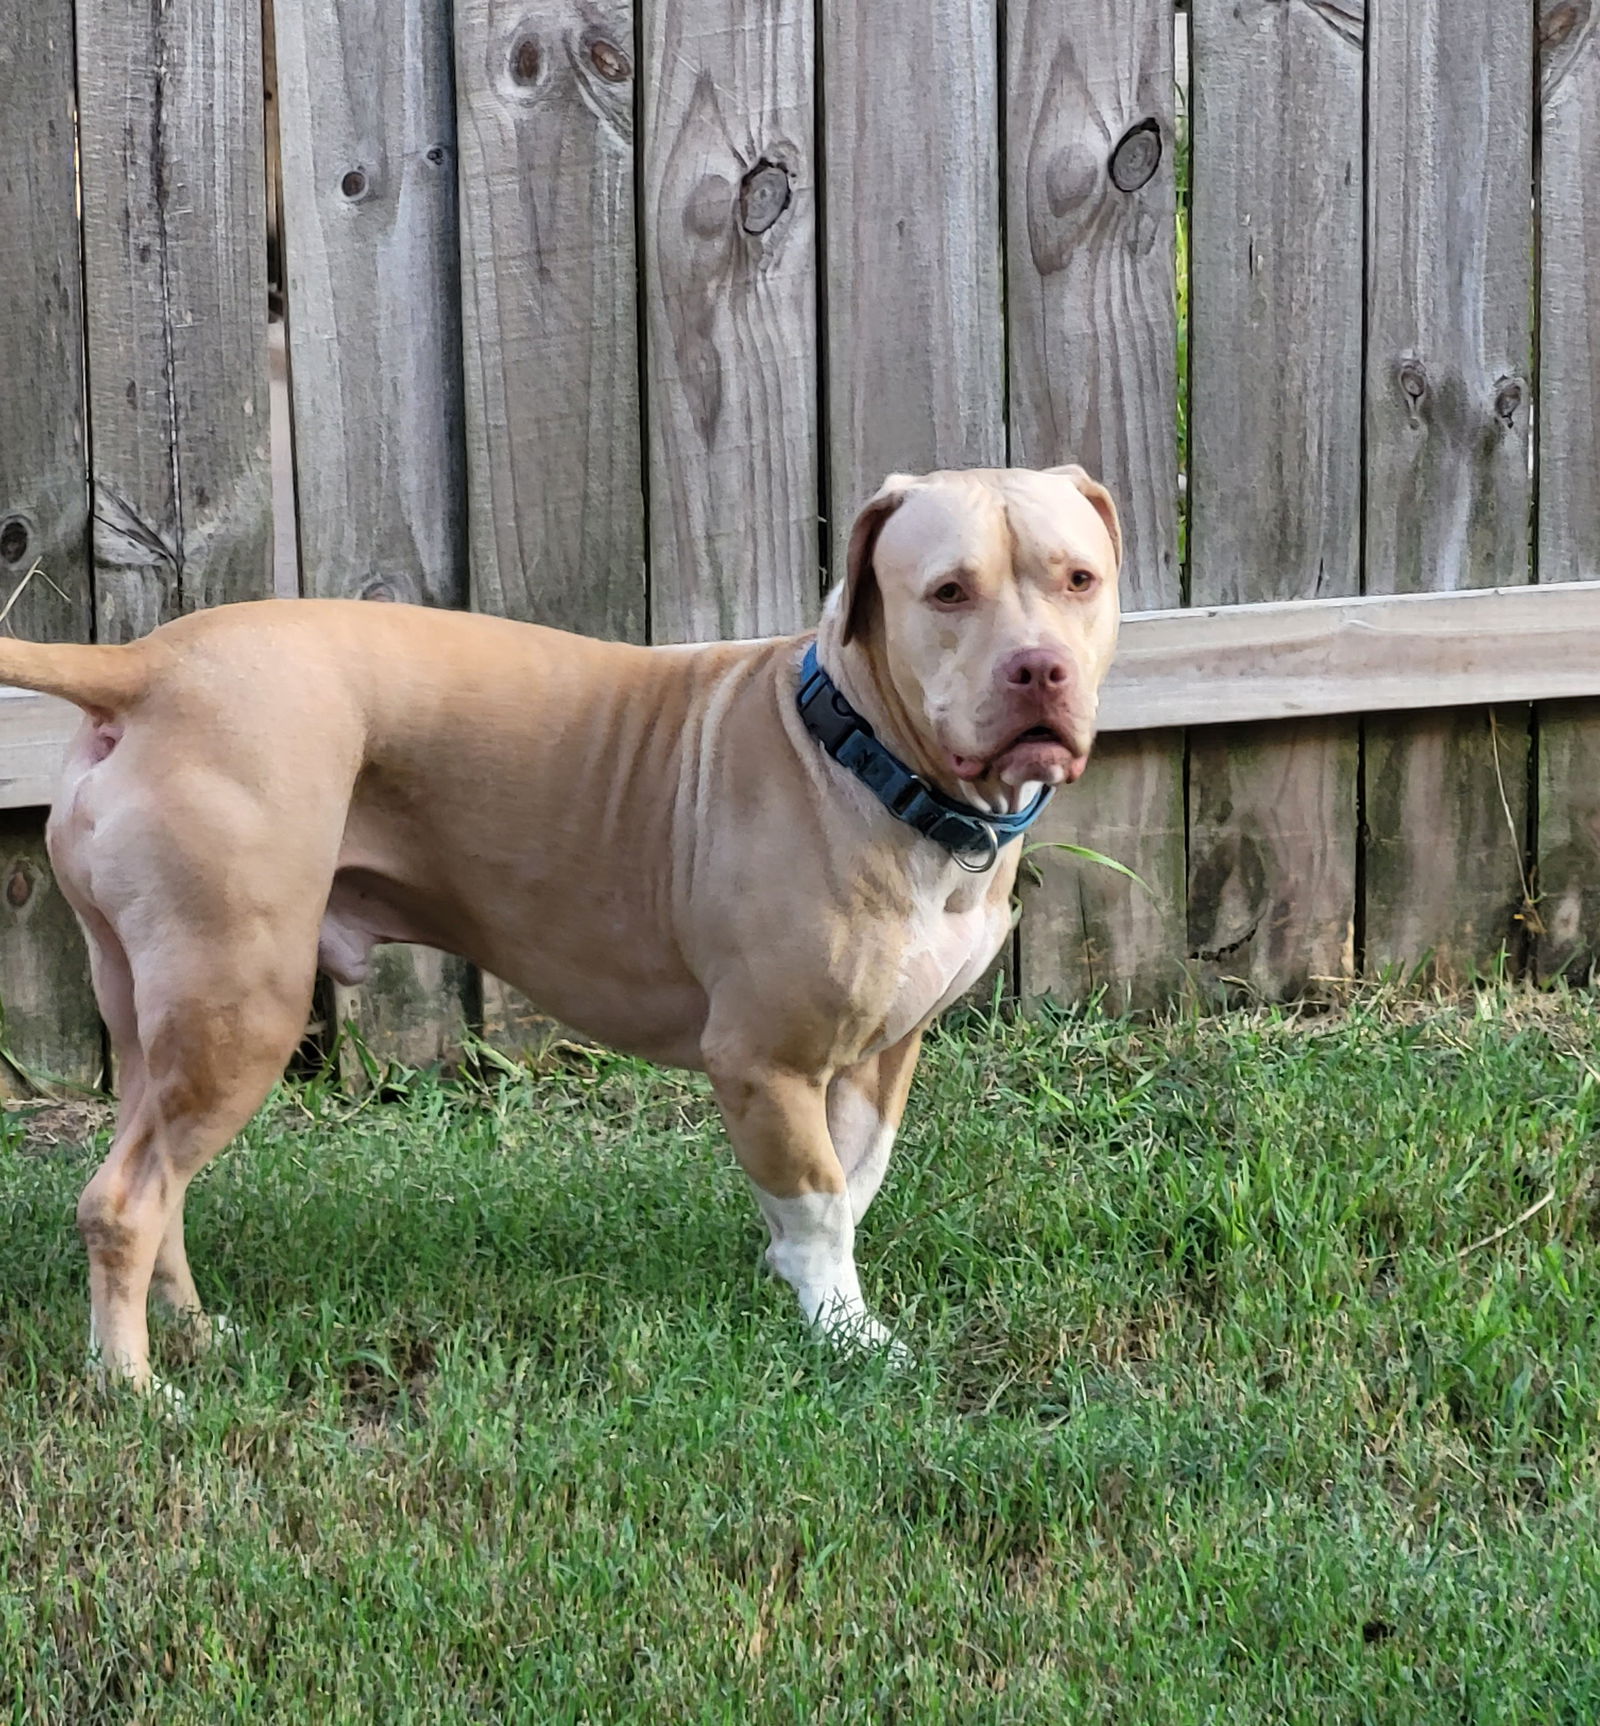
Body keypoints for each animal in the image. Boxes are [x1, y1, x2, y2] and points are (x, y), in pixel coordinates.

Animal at [3, 466, 1125, 1394]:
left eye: (1079, 578)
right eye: (948, 592)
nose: (1039, 671)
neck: (860, 754)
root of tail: (147, 665)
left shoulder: (885, 1052)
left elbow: (854, 1181)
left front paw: (810, 1291)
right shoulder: (764, 1059)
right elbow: (815, 1197)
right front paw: (846, 1334)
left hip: (162, 1018)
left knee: (156, 1184)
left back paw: (191, 1334)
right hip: (242, 1008)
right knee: (124, 1200)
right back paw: (135, 1388)